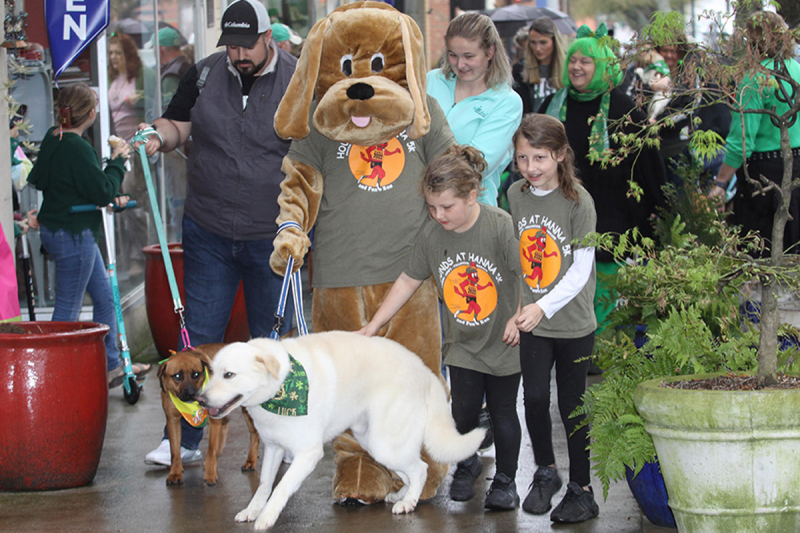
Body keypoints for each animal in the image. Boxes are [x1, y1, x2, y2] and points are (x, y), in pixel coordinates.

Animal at [155, 342, 258, 484]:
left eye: (196, 374)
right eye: (177, 376)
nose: (191, 394)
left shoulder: (213, 420)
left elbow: (211, 449)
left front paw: (210, 473)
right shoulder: (173, 421)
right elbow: (175, 452)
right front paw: (175, 473)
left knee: (255, 435)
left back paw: (251, 460)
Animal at [197, 330, 484, 528]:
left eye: (229, 375)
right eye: (211, 372)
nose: (200, 400)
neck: (280, 389)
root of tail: (426, 372)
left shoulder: (308, 454)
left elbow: (281, 488)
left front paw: (266, 517)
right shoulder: (273, 448)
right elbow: (265, 485)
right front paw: (253, 511)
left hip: (385, 443)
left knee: (421, 469)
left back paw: (408, 503)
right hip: (374, 442)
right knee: (411, 471)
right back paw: (401, 496)